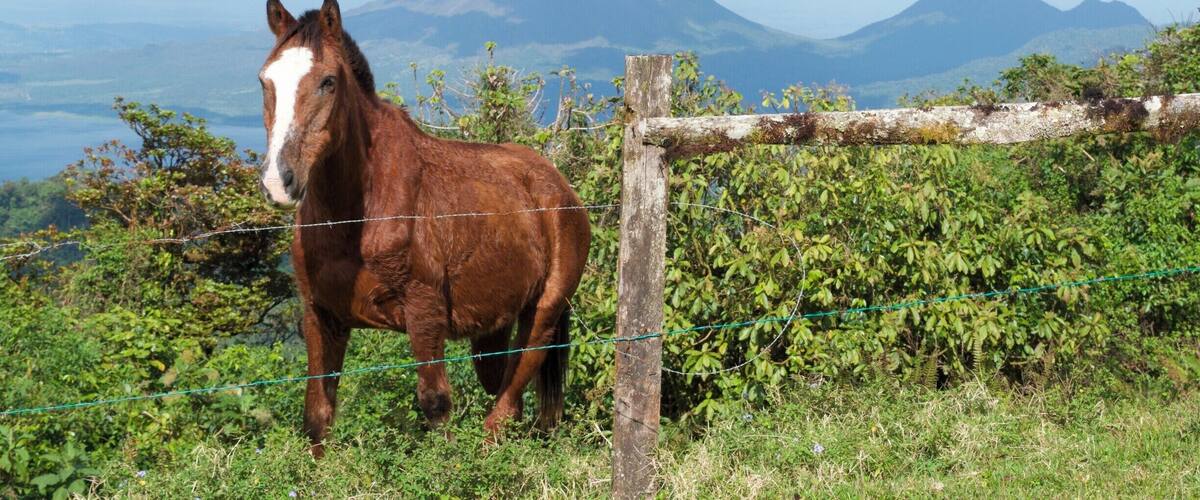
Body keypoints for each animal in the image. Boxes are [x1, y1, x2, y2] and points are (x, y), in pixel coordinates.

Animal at [258, 0, 592, 457]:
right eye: (265, 81)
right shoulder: (321, 316)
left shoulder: (425, 313)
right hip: (494, 326)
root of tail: (559, 186)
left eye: (328, 82)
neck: (356, 217)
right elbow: (317, 417)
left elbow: (435, 406)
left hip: (543, 313)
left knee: (505, 407)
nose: (280, 181)